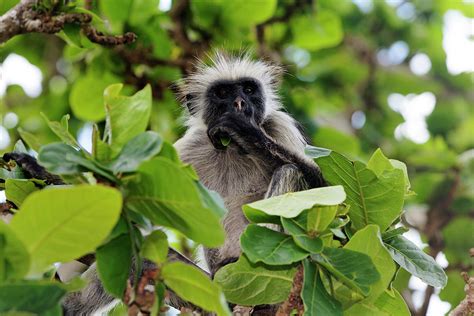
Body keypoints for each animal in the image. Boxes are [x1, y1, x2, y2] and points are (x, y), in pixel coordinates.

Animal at [1, 53, 326, 314]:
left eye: (248, 89)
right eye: (222, 92)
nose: (239, 103)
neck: (230, 150)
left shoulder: (277, 126)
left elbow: (325, 193)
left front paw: (243, 129)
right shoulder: (190, 147)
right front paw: (37, 168)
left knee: (289, 171)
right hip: (205, 287)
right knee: (137, 256)